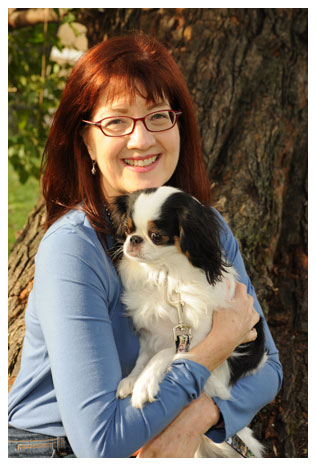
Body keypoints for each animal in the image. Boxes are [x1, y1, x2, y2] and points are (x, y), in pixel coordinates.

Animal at [112, 187, 268, 458]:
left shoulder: (196, 337)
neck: (165, 274)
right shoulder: (150, 334)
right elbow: (143, 357)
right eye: (127, 229)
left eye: (156, 236)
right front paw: (131, 380)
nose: (134, 240)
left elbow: (162, 354)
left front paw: (144, 384)